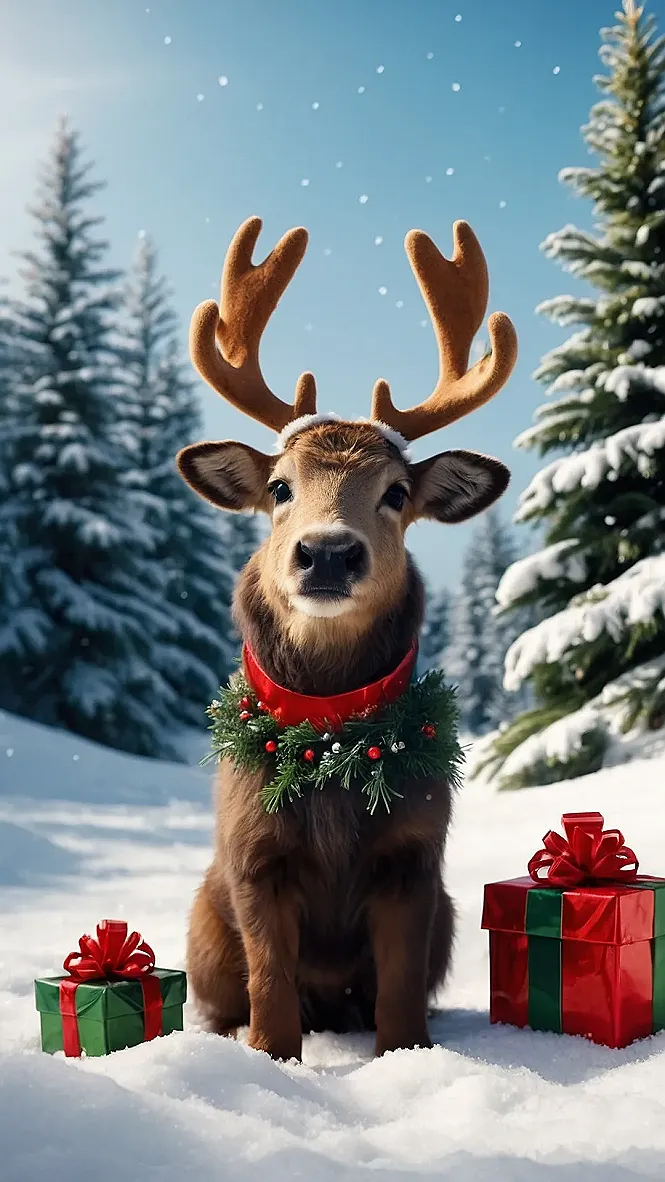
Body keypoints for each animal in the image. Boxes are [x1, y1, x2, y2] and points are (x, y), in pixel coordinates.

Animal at [177, 215, 517, 1061]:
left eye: (396, 494)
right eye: (278, 487)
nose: (327, 551)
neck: (330, 735)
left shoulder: (415, 855)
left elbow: (397, 988)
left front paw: (407, 1058)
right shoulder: (252, 855)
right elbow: (270, 978)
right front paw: (270, 1059)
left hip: (452, 916)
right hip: (202, 922)